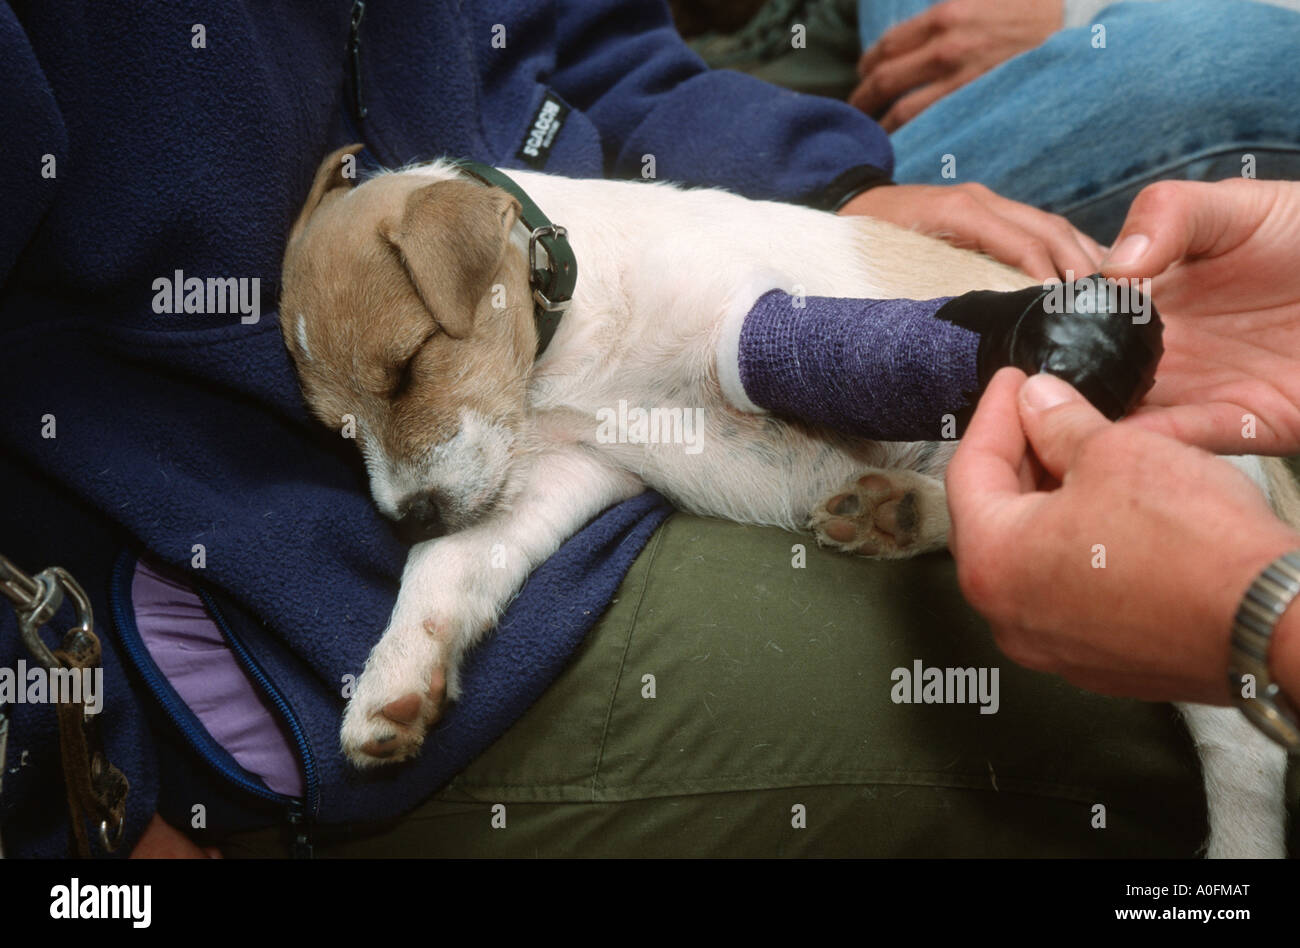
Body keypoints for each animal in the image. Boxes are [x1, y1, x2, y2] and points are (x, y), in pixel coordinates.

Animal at [279, 146, 1294, 858]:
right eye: (338, 430)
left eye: (409, 367)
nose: (405, 515)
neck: (576, 336)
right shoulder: (570, 471)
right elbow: (451, 564)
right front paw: (397, 679)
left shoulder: (754, 320)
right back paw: (899, 511)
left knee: (1246, 755)